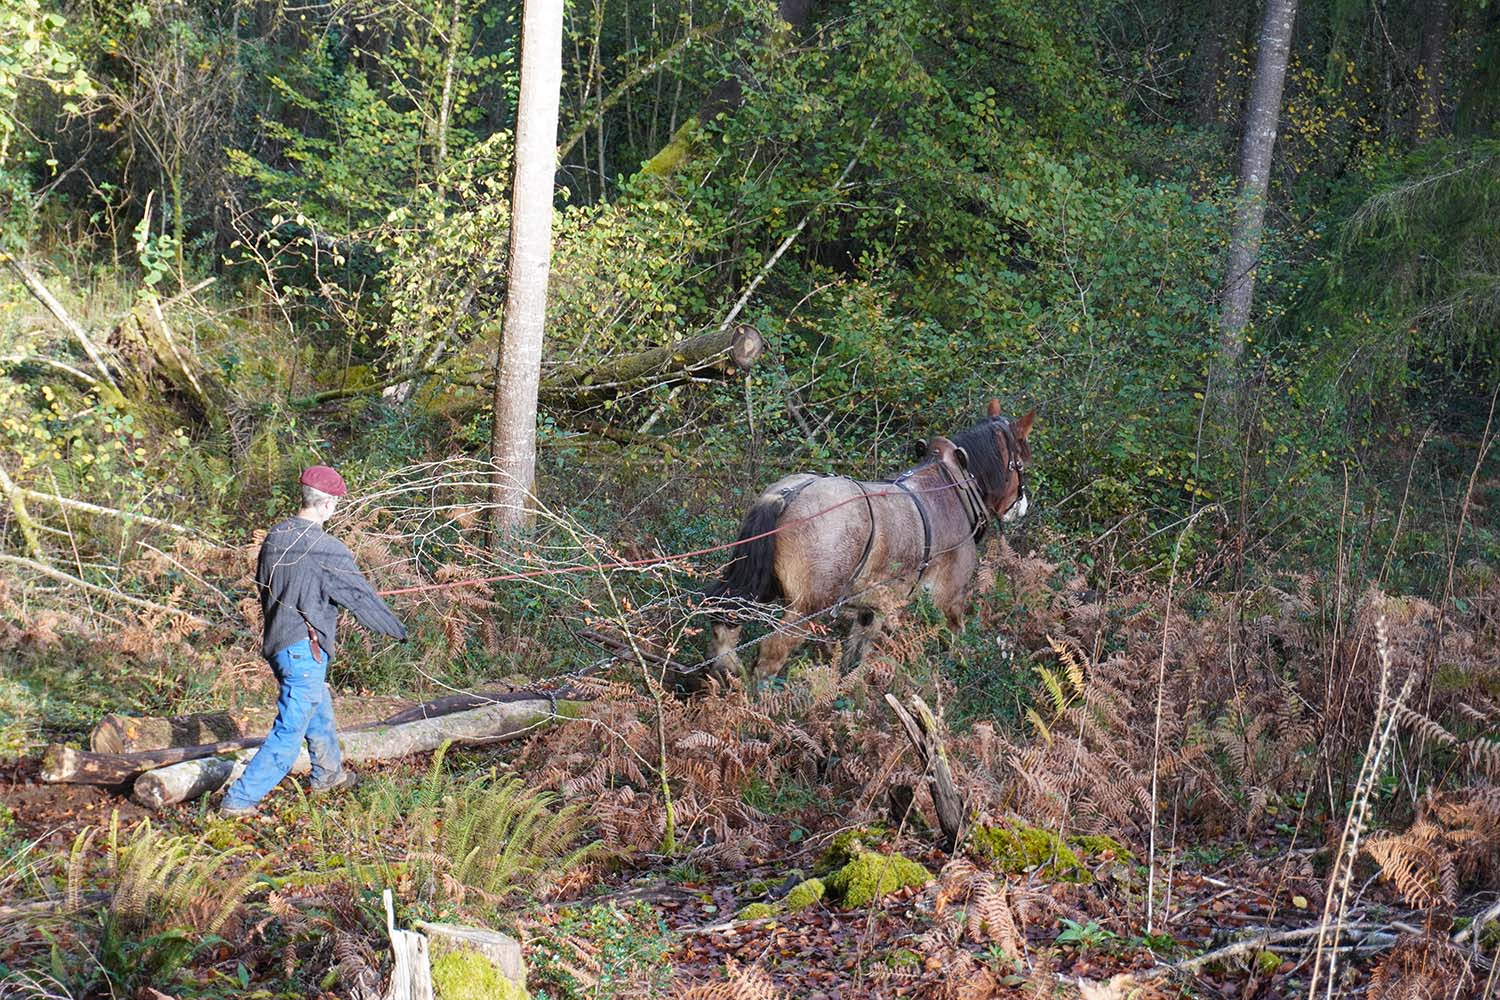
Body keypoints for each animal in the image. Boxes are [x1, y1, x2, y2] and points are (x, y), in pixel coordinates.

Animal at [704, 399, 1034, 686]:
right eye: (1020, 463)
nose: (1022, 506)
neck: (953, 486)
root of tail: (786, 495)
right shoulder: (949, 598)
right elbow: (956, 642)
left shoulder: (873, 608)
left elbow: (858, 655)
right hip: (807, 606)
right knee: (772, 652)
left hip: (757, 585)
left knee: (724, 622)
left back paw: (729, 675)